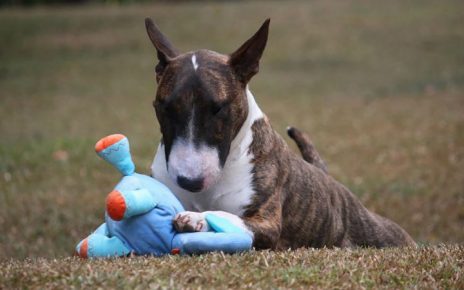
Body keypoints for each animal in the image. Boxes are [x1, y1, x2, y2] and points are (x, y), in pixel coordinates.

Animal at [145, 18, 414, 248]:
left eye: (218, 108)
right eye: (165, 107)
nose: (190, 181)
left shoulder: (268, 223)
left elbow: (227, 217)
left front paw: (196, 219)